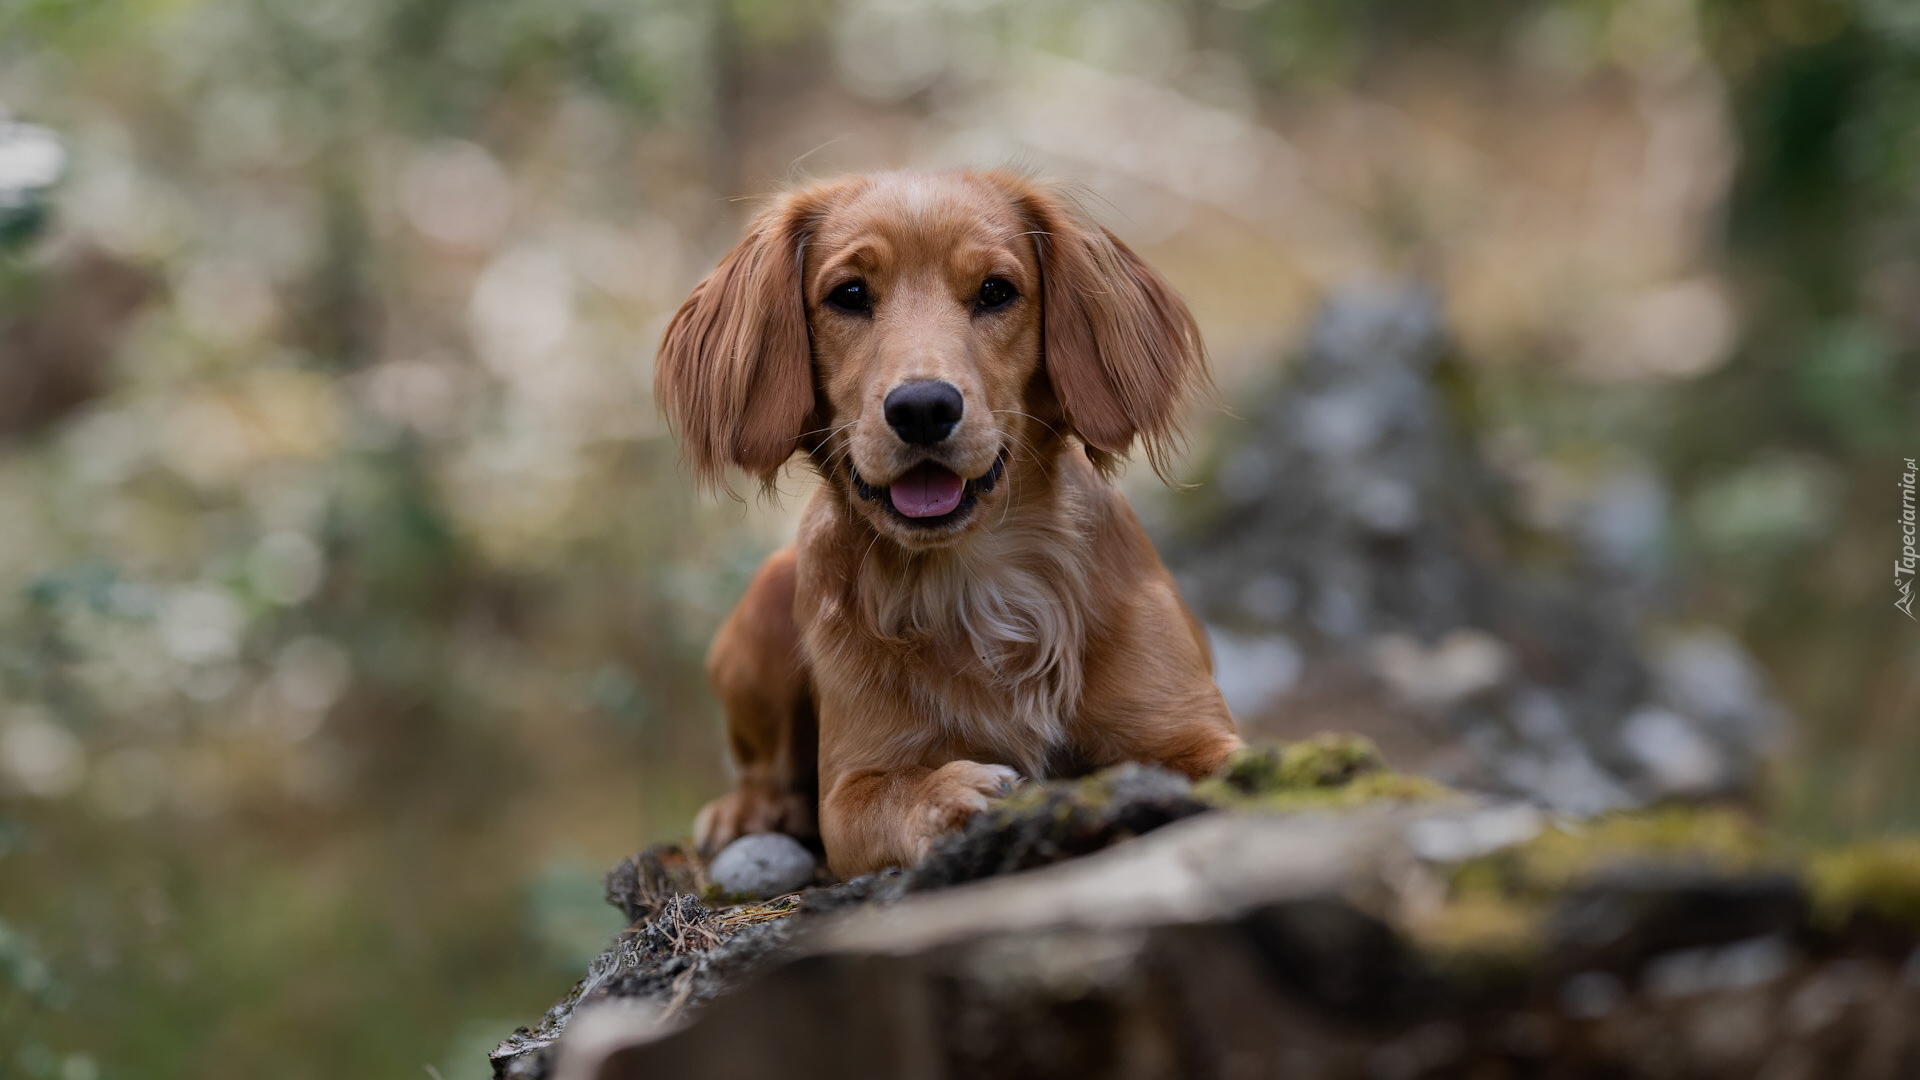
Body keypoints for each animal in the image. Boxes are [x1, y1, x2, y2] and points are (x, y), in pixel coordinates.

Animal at [660, 168, 1244, 876]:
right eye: (848, 294)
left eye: (996, 291)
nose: (922, 407)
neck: (977, 577)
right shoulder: (850, 788)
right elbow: (888, 795)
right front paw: (951, 793)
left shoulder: (1190, 731)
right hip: (762, 614)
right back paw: (749, 809)